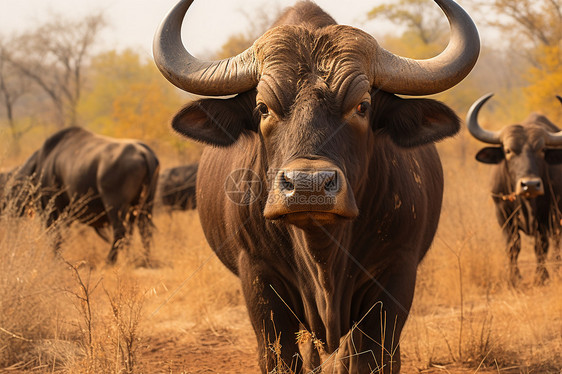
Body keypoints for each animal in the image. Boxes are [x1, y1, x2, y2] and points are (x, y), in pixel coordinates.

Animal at [1, 127, 160, 264]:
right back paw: (143, 259)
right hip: (144, 206)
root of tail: (143, 152)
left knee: (121, 231)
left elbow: (55, 237)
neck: (40, 166)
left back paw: (110, 261)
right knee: (143, 230)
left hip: (115, 206)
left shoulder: (51, 211)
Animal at [153, 0, 476, 372]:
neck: (321, 254)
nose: (309, 186)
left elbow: (374, 357)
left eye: (362, 106)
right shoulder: (259, 278)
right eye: (262, 107)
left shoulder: (396, 273)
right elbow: (280, 357)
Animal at [464, 94, 560, 286]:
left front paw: (541, 277)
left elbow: (541, 246)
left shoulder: (549, 214)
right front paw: (514, 279)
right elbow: (513, 246)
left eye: (542, 150)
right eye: (508, 150)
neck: (526, 203)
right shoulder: (502, 214)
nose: (530, 184)